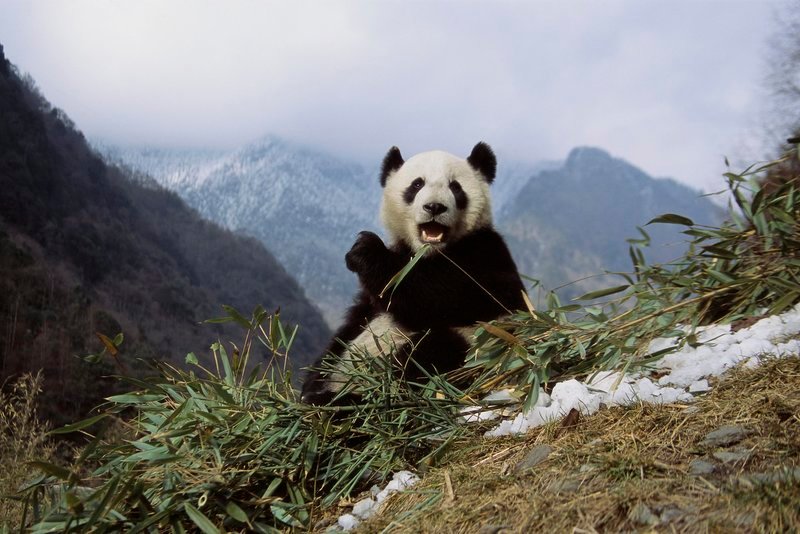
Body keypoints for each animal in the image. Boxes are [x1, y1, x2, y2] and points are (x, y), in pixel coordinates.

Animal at [300, 142, 524, 406]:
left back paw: (347, 400)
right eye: (417, 185)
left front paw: (365, 250)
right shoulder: (370, 303)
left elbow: (438, 295)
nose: (435, 207)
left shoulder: (486, 256)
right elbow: (354, 322)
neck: (430, 253)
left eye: (455, 187)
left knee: (427, 358)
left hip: (475, 345)